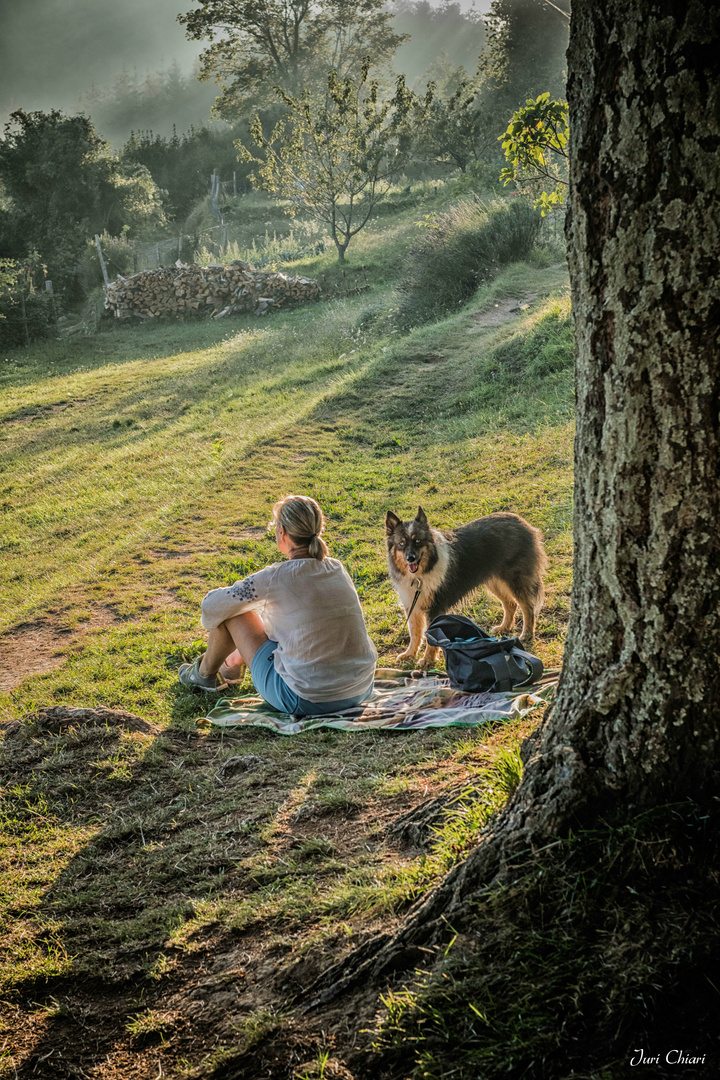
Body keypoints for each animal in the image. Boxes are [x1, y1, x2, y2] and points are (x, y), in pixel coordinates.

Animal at [388, 505, 546, 665]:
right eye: (401, 543)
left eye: (418, 541)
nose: (410, 558)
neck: (420, 575)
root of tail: (522, 523)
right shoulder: (412, 606)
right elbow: (415, 634)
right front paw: (409, 654)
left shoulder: (434, 608)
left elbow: (430, 638)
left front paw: (428, 660)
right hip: (494, 581)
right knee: (510, 604)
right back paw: (504, 627)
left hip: (515, 580)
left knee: (528, 607)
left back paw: (527, 634)